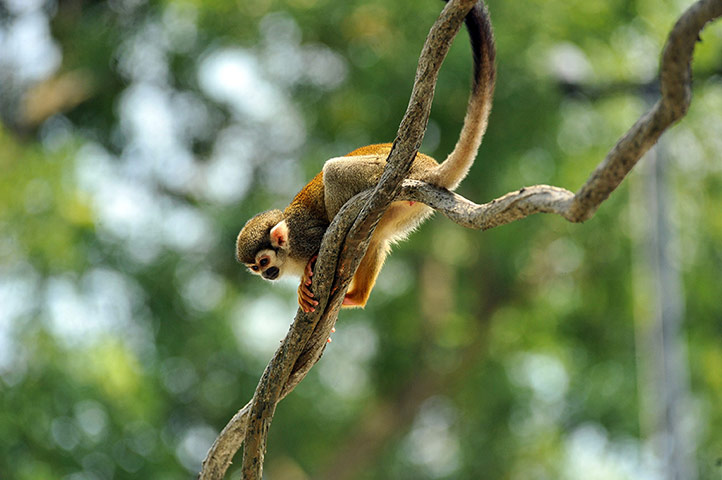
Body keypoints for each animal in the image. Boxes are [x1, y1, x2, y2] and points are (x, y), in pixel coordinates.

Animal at [237, 1, 495, 313]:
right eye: (256, 268)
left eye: (264, 261)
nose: (267, 274)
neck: (289, 250)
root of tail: (423, 167)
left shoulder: (304, 238)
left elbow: (318, 233)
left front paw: (308, 273)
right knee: (376, 239)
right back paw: (357, 296)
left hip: (376, 173)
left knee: (334, 172)